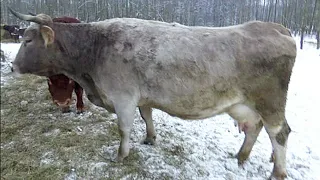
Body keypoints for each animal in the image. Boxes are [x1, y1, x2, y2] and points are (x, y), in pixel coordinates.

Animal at [8, 8, 296, 180]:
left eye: (28, 40)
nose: (12, 66)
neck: (95, 49)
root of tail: (275, 27)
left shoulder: (123, 97)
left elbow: (124, 128)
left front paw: (121, 155)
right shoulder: (140, 96)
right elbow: (146, 116)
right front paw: (150, 138)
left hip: (270, 101)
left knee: (279, 133)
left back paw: (278, 172)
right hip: (243, 104)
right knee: (255, 127)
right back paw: (241, 157)